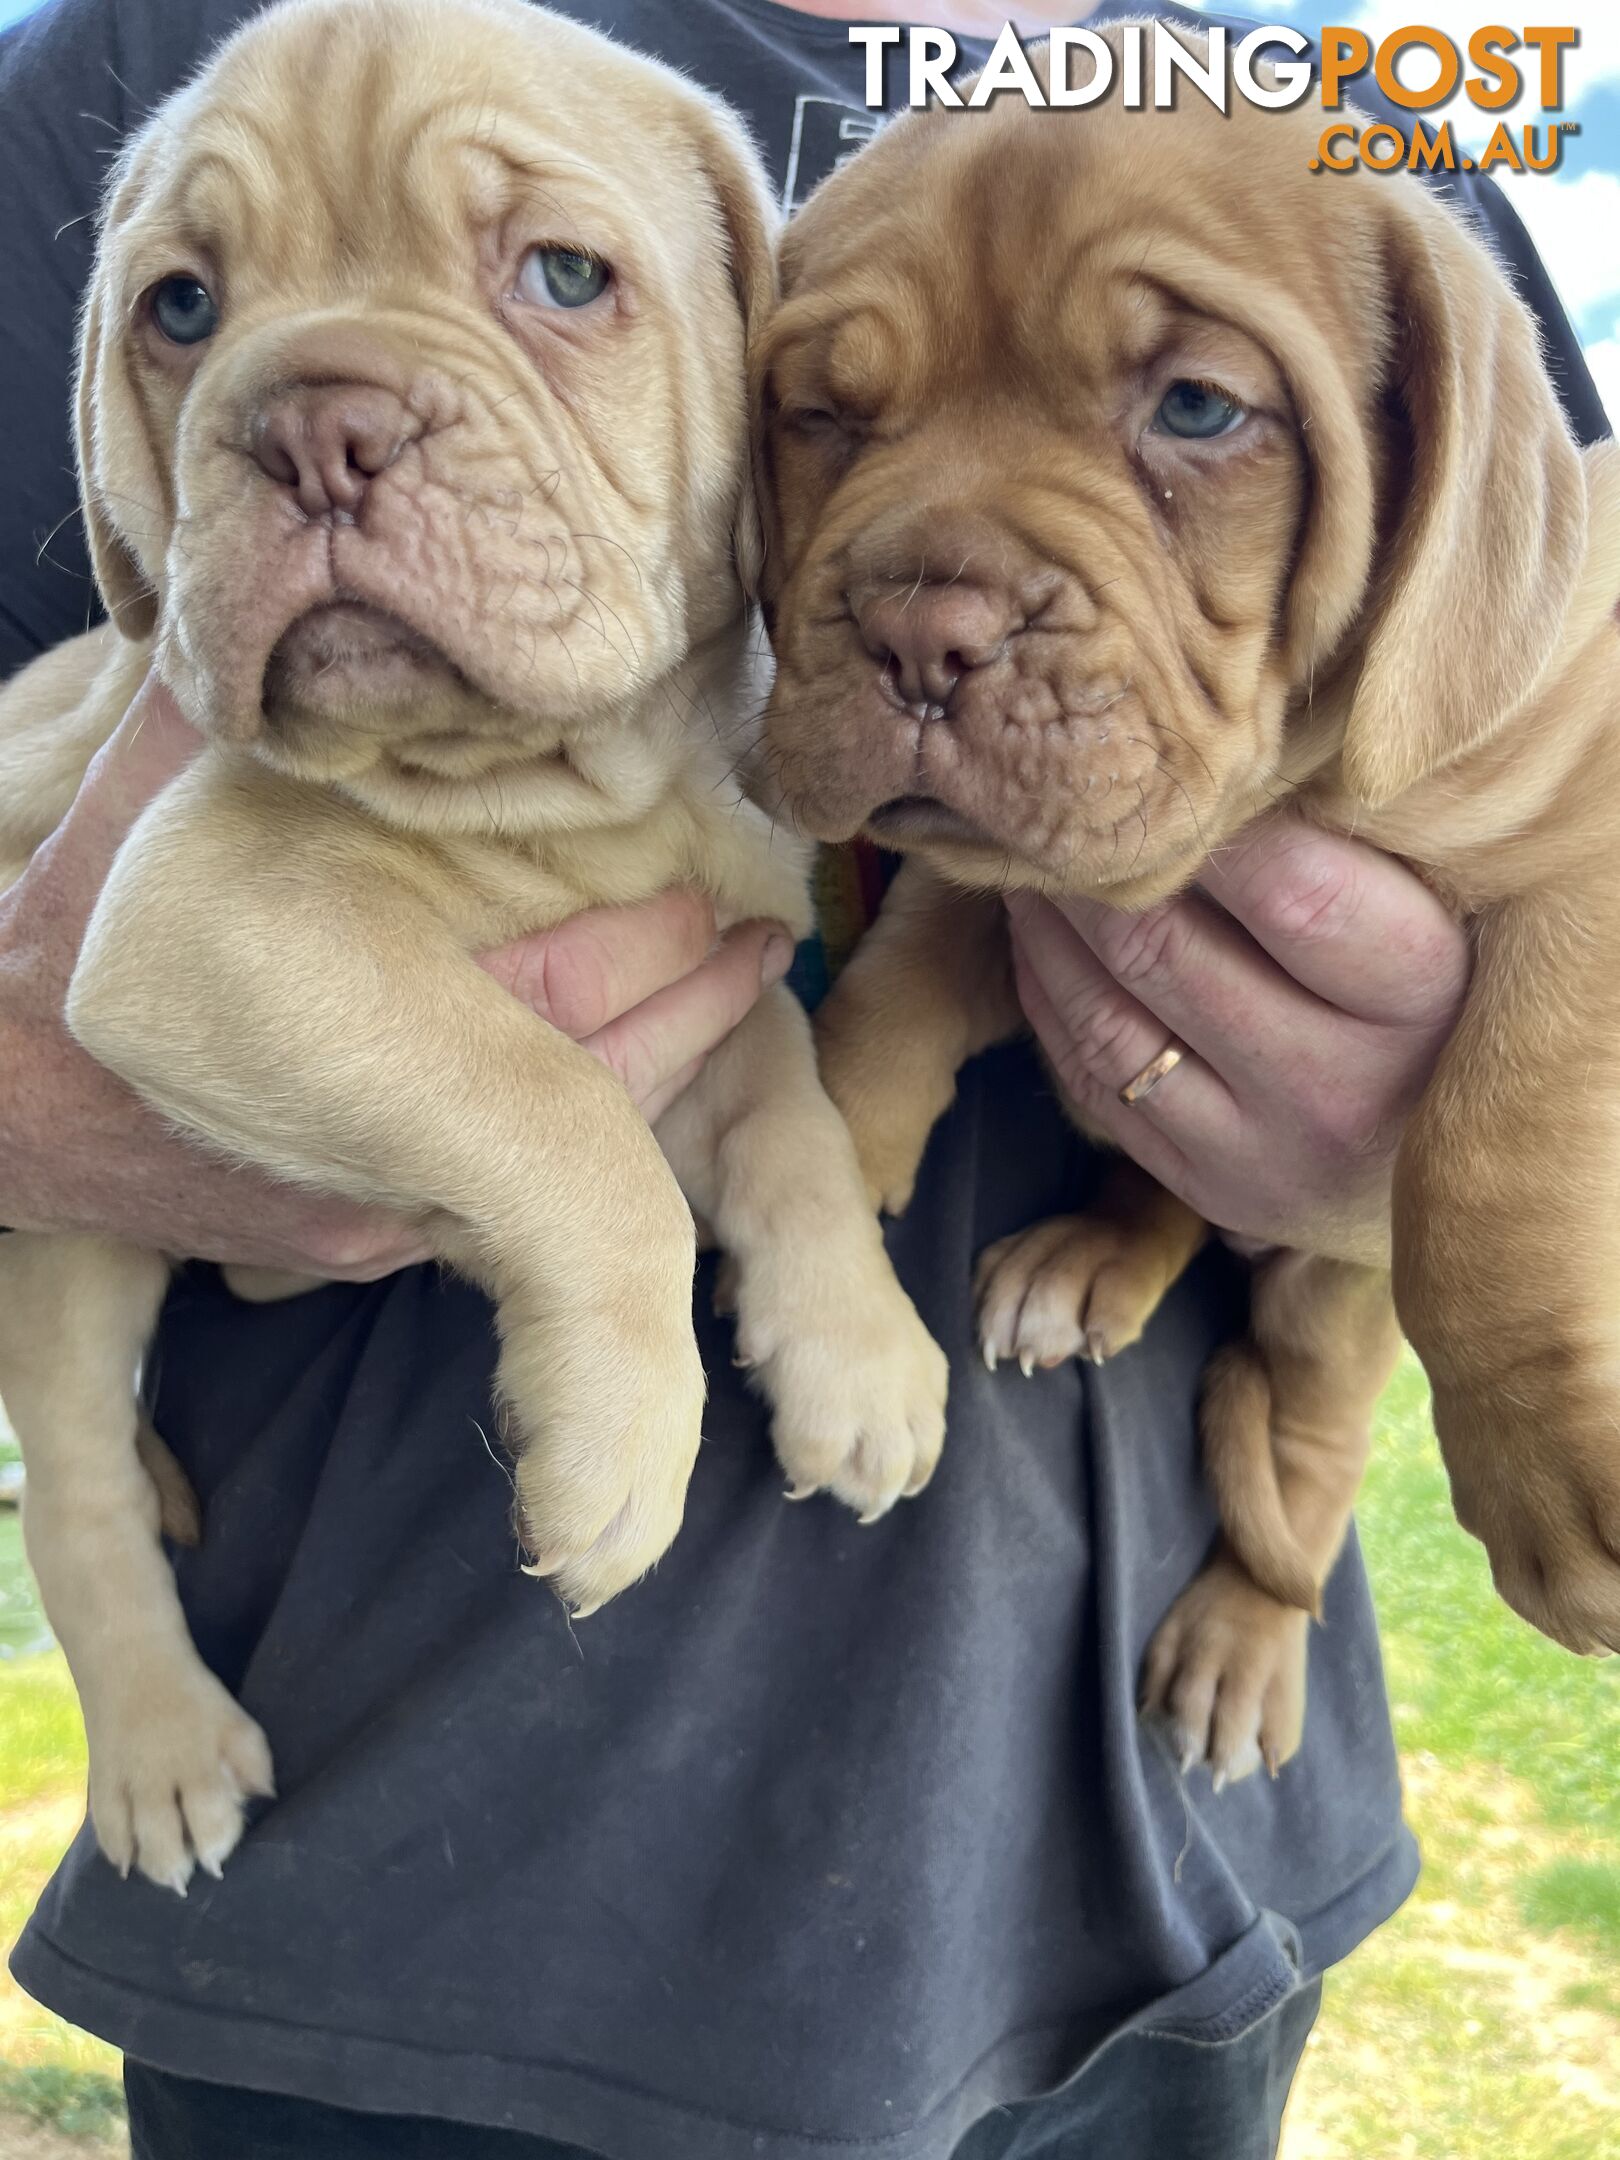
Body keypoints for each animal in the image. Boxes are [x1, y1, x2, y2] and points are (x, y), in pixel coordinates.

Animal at [0, 0, 950, 1892]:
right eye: (181, 309)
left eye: (564, 277)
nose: (315, 425)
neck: (575, 790)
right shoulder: (205, 916)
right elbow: (565, 1128)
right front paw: (623, 1441)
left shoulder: (727, 986)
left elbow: (797, 1136)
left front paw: (859, 1351)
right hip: (63, 1251)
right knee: (71, 1488)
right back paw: (160, 1750)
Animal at [760, 33, 1620, 1779]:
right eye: (822, 414)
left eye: (1200, 409)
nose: (918, 629)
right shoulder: (996, 884)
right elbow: (887, 998)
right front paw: (828, 1184)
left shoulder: (1585, 849)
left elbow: (1502, 1138)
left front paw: (1551, 1443)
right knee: (1160, 1185)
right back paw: (1091, 1257)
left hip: (1332, 1315)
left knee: (1302, 1456)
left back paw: (1246, 1638)